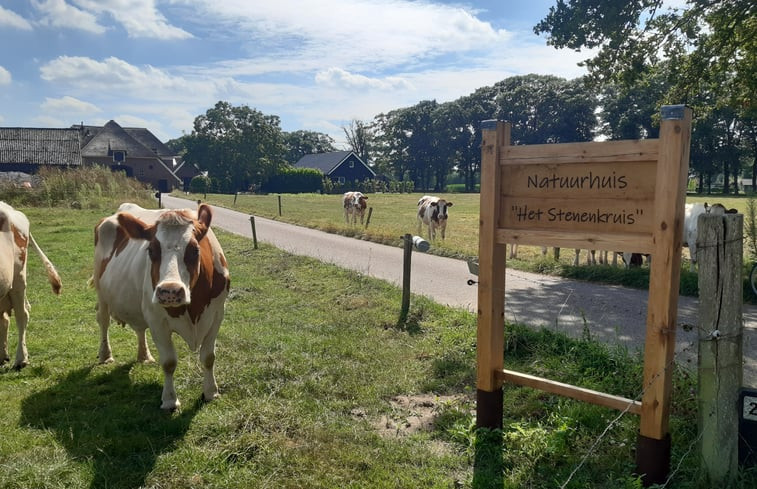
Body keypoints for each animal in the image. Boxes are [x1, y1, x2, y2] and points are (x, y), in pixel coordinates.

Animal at [92, 202, 227, 408]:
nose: (169, 291)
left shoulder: (217, 315)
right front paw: (170, 400)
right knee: (103, 321)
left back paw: (144, 356)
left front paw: (211, 392)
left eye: (195, 250)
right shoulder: (157, 321)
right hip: (102, 294)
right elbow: (169, 362)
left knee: (139, 328)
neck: (193, 308)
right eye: (151, 250)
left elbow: (208, 357)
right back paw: (105, 355)